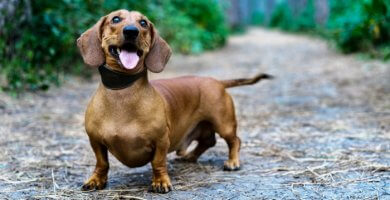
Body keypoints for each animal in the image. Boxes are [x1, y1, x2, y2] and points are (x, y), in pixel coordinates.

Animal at [75, 9, 272, 194]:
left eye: (143, 22)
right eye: (115, 19)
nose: (131, 31)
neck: (123, 92)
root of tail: (217, 81)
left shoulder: (161, 140)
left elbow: (158, 162)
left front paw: (160, 182)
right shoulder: (95, 141)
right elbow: (102, 163)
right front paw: (96, 180)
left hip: (224, 124)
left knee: (234, 141)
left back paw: (232, 162)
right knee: (208, 142)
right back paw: (190, 156)